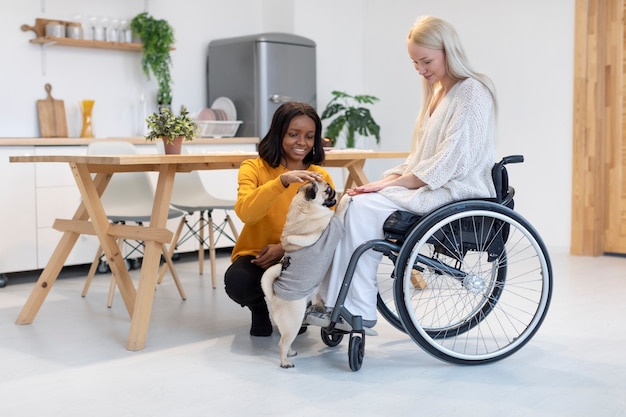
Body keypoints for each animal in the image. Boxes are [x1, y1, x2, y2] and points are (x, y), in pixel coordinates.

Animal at [260, 180, 352, 368]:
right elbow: (339, 211)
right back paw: (285, 362)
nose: (335, 191)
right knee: (282, 343)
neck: (304, 208)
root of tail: (274, 297)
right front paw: (345, 198)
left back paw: (291, 353)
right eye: (328, 190)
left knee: (285, 340)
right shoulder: (334, 225)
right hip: (294, 321)